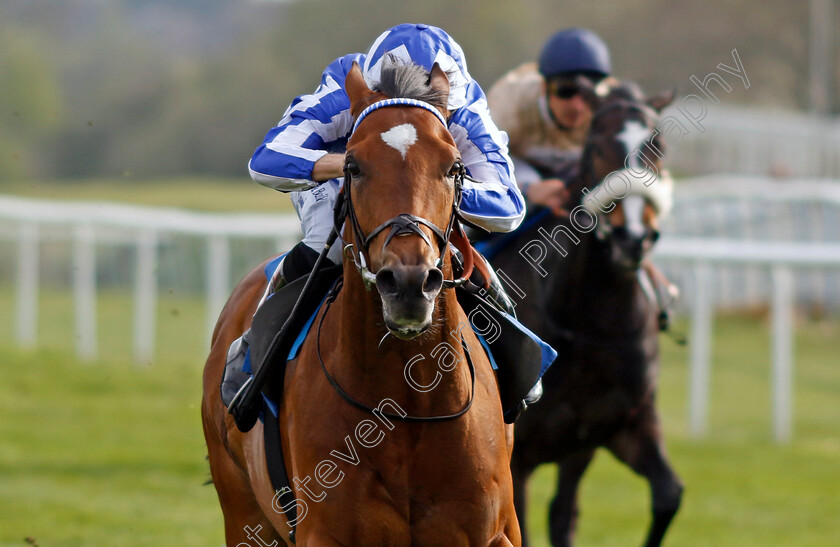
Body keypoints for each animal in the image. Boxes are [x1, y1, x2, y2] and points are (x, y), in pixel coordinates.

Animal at [202, 61, 520, 547]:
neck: (408, 404)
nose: (408, 283)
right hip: (242, 514)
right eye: (352, 166)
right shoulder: (324, 532)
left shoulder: (496, 533)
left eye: (455, 167)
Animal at [486, 83, 684, 544]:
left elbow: (668, 495)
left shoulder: (614, 427)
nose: (633, 238)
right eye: (596, 143)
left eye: (659, 145)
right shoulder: (518, 453)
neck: (590, 322)